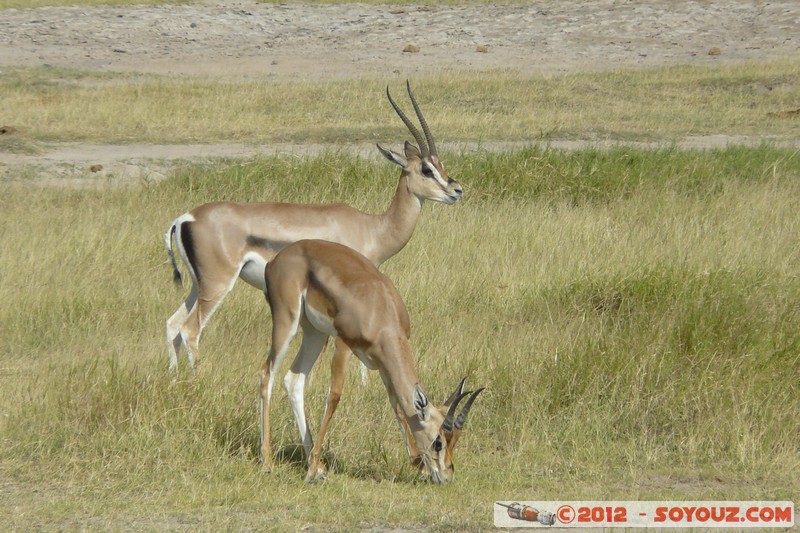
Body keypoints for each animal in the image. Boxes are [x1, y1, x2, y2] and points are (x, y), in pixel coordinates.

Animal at [165, 82, 463, 372]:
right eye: (426, 169)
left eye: (440, 164)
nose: (456, 190)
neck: (372, 227)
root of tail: (186, 218)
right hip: (217, 285)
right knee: (190, 329)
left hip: (198, 286)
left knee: (172, 325)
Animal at [260, 239, 483, 483]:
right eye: (438, 442)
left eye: (455, 439)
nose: (446, 476)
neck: (380, 309)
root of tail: (280, 257)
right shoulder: (343, 344)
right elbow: (334, 396)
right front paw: (310, 472)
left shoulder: (383, 363)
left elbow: (397, 405)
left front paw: (419, 465)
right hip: (287, 321)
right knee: (267, 373)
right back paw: (269, 462)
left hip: (314, 333)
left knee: (294, 379)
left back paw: (316, 466)